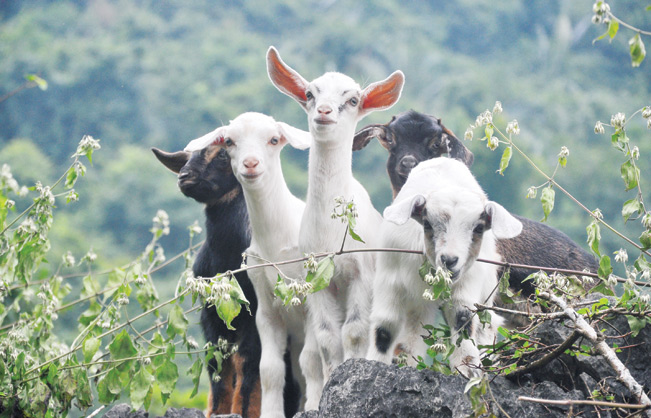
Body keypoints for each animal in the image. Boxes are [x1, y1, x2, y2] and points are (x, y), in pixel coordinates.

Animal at [152, 147, 300, 418]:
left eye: (222, 154)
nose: (184, 177)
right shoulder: (211, 314)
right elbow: (217, 363)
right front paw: (217, 410)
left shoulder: (256, 314)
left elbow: (248, 362)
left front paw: (244, 410)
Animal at [186, 112, 324, 418]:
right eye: (229, 141)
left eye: (273, 139)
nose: (250, 163)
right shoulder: (239, 312)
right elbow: (239, 369)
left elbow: (259, 365)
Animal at [374, 158, 524, 378]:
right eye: (427, 223)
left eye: (479, 228)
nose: (449, 260)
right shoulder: (390, 281)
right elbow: (385, 329)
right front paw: (375, 362)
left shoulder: (466, 285)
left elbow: (463, 320)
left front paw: (469, 369)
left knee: (486, 326)